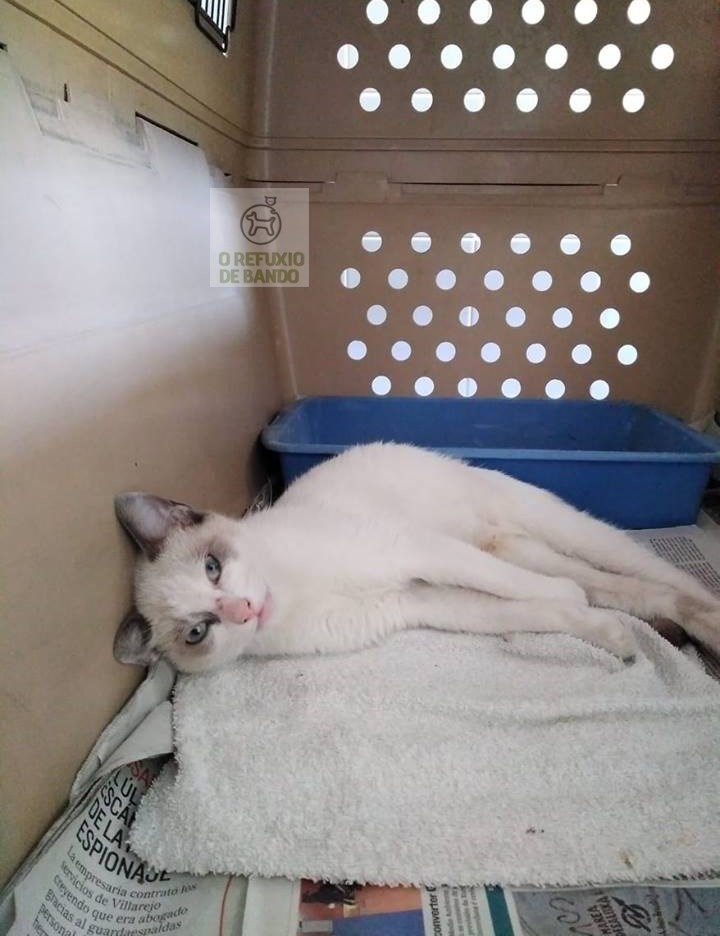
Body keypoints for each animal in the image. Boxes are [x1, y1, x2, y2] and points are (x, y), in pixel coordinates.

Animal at [114, 442, 720, 674]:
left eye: (213, 567)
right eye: (197, 632)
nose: (242, 610)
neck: (289, 596)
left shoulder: (413, 550)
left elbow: (530, 592)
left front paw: (581, 614)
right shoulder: (419, 600)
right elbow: (539, 610)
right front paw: (605, 634)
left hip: (563, 529)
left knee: (655, 574)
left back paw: (707, 620)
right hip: (523, 547)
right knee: (615, 590)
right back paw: (656, 632)